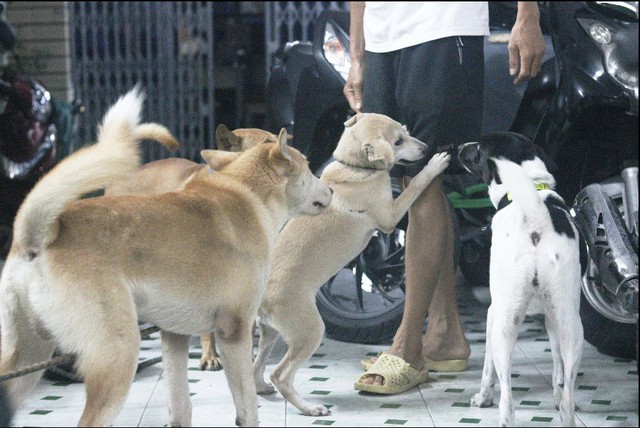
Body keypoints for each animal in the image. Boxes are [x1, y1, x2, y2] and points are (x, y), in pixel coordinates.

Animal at [251, 112, 450, 416]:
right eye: (398, 141)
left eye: (406, 131)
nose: (427, 148)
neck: (354, 167)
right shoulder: (390, 217)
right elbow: (415, 185)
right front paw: (434, 166)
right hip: (309, 331)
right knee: (281, 375)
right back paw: (310, 408)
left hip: (271, 332)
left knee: (255, 367)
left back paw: (262, 388)